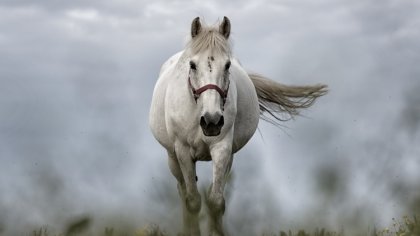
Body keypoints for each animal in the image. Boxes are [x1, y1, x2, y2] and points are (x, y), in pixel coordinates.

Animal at [149, 17, 326, 236]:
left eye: (227, 65)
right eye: (192, 65)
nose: (212, 121)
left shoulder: (222, 148)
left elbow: (216, 202)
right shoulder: (183, 151)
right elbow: (193, 201)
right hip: (172, 158)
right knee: (183, 192)